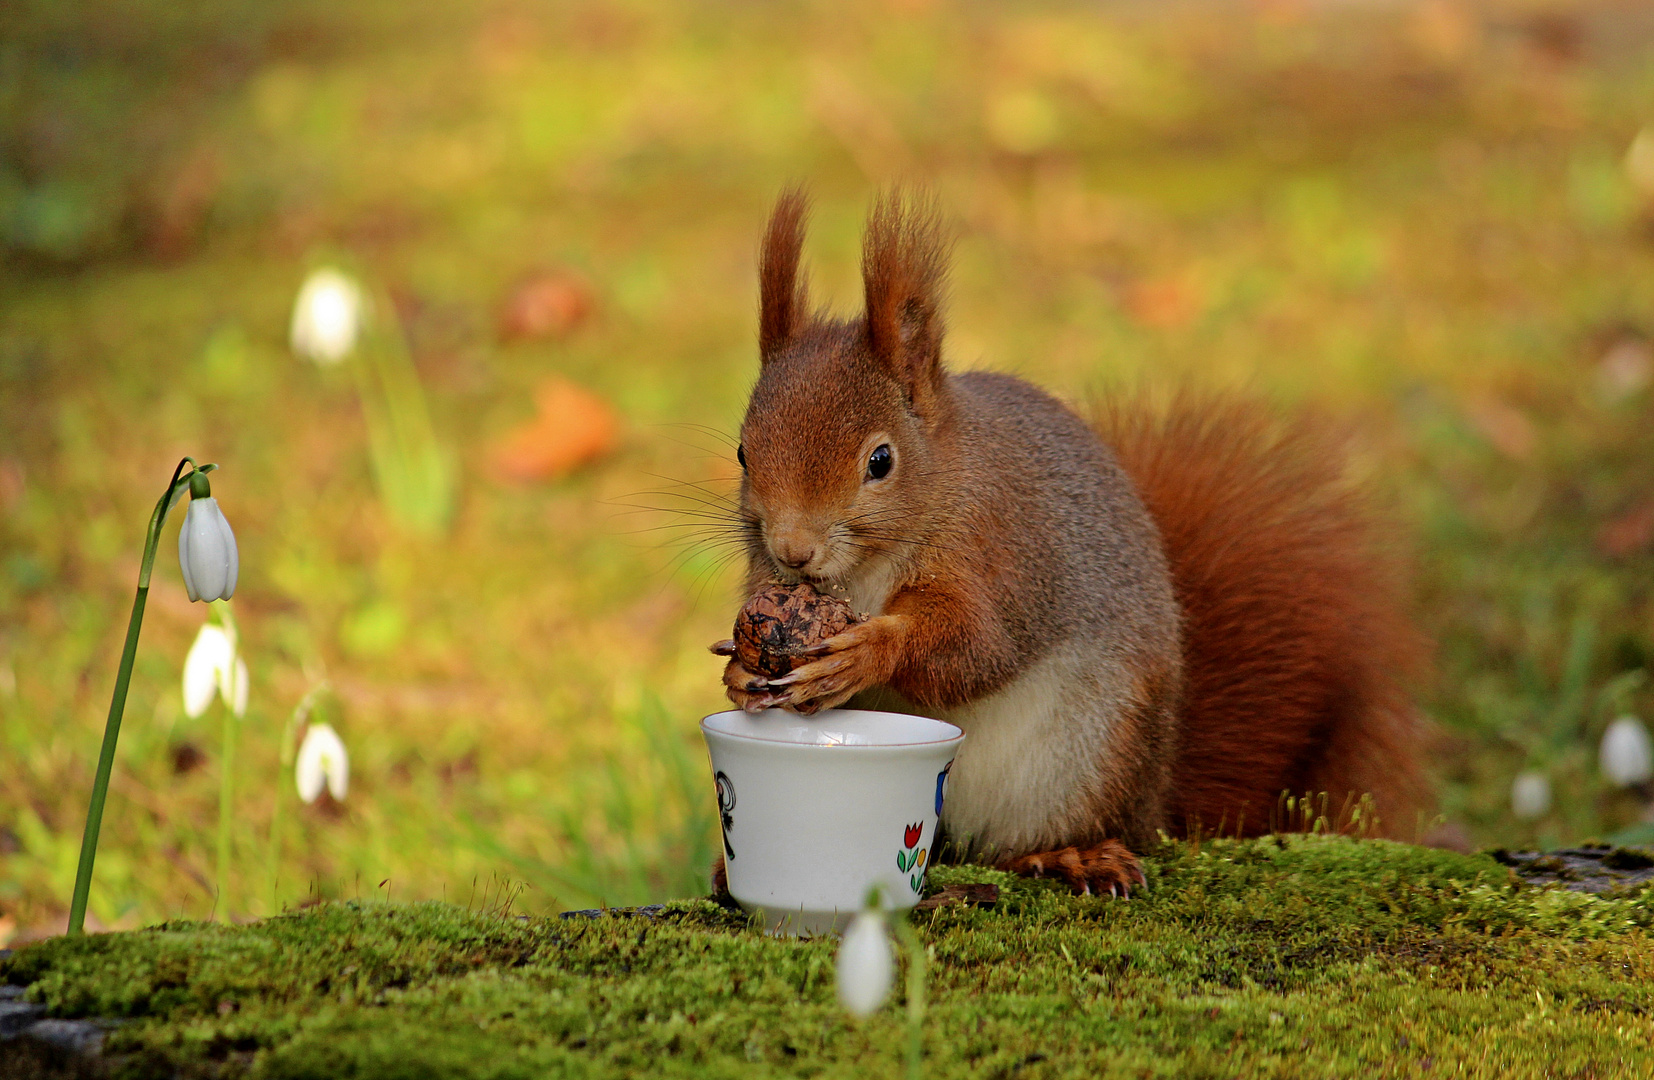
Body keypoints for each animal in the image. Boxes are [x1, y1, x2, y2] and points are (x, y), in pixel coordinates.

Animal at [711, 191, 1422, 893]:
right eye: (744, 453)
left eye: (880, 461)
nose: (793, 550)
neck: (865, 567)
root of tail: (1155, 799)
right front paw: (742, 670)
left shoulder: (1003, 552)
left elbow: (975, 648)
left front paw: (868, 651)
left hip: (1094, 754)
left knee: (1030, 842)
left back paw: (1069, 856)